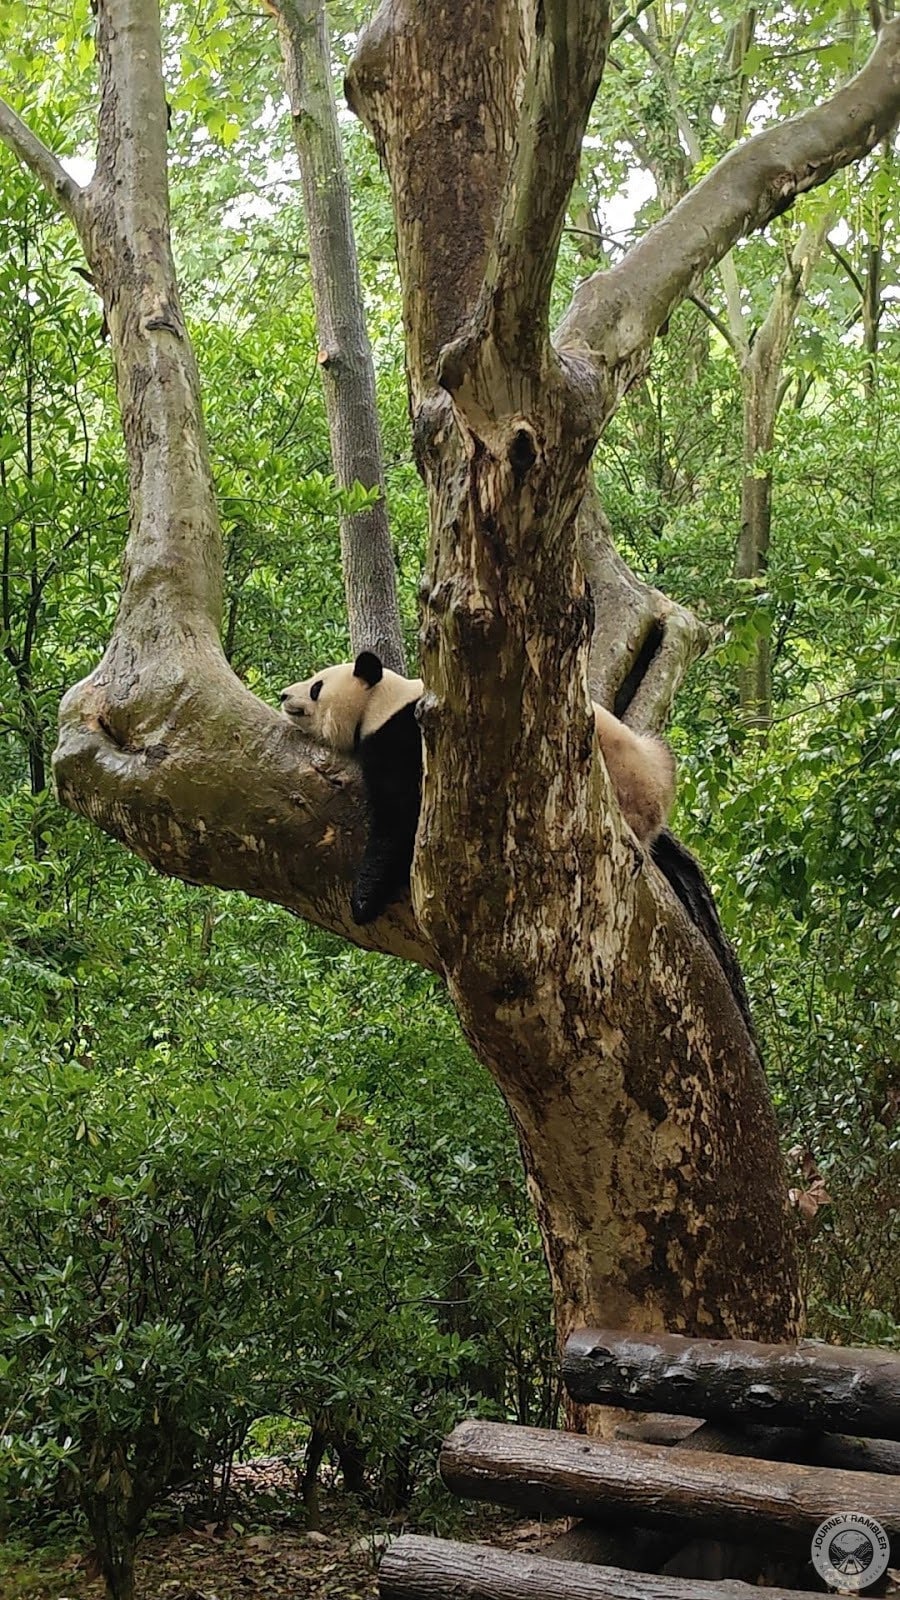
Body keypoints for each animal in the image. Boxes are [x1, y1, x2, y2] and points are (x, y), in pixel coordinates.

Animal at [280, 651, 675, 925]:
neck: (380, 701)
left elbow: (400, 816)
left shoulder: (407, 738)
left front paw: (363, 900)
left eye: (316, 687)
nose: (284, 695)